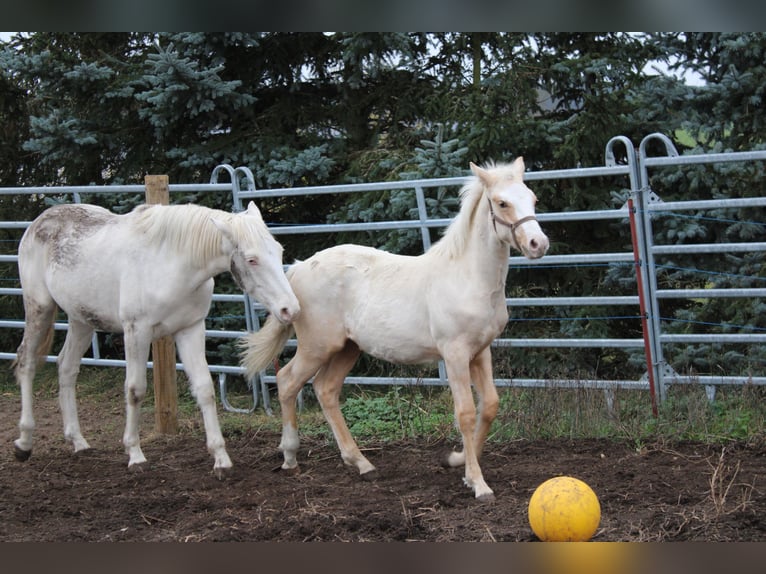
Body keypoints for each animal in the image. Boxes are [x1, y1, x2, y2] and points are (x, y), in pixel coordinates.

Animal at [12, 200, 300, 480]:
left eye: (279, 251)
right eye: (252, 260)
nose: (291, 309)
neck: (172, 262)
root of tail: (40, 221)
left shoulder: (190, 329)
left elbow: (205, 389)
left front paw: (221, 459)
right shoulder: (136, 331)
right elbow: (135, 390)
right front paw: (135, 455)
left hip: (81, 320)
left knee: (67, 367)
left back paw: (78, 442)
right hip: (39, 307)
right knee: (27, 361)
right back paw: (24, 442)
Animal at [243, 159, 548, 504]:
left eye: (532, 198)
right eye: (502, 202)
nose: (538, 244)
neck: (468, 277)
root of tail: (296, 269)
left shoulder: (480, 352)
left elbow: (490, 406)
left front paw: (456, 461)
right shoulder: (455, 354)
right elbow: (466, 413)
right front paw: (478, 484)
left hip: (347, 348)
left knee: (325, 390)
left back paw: (361, 463)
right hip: (317, 346)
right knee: (287, 381)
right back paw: (290, 457)